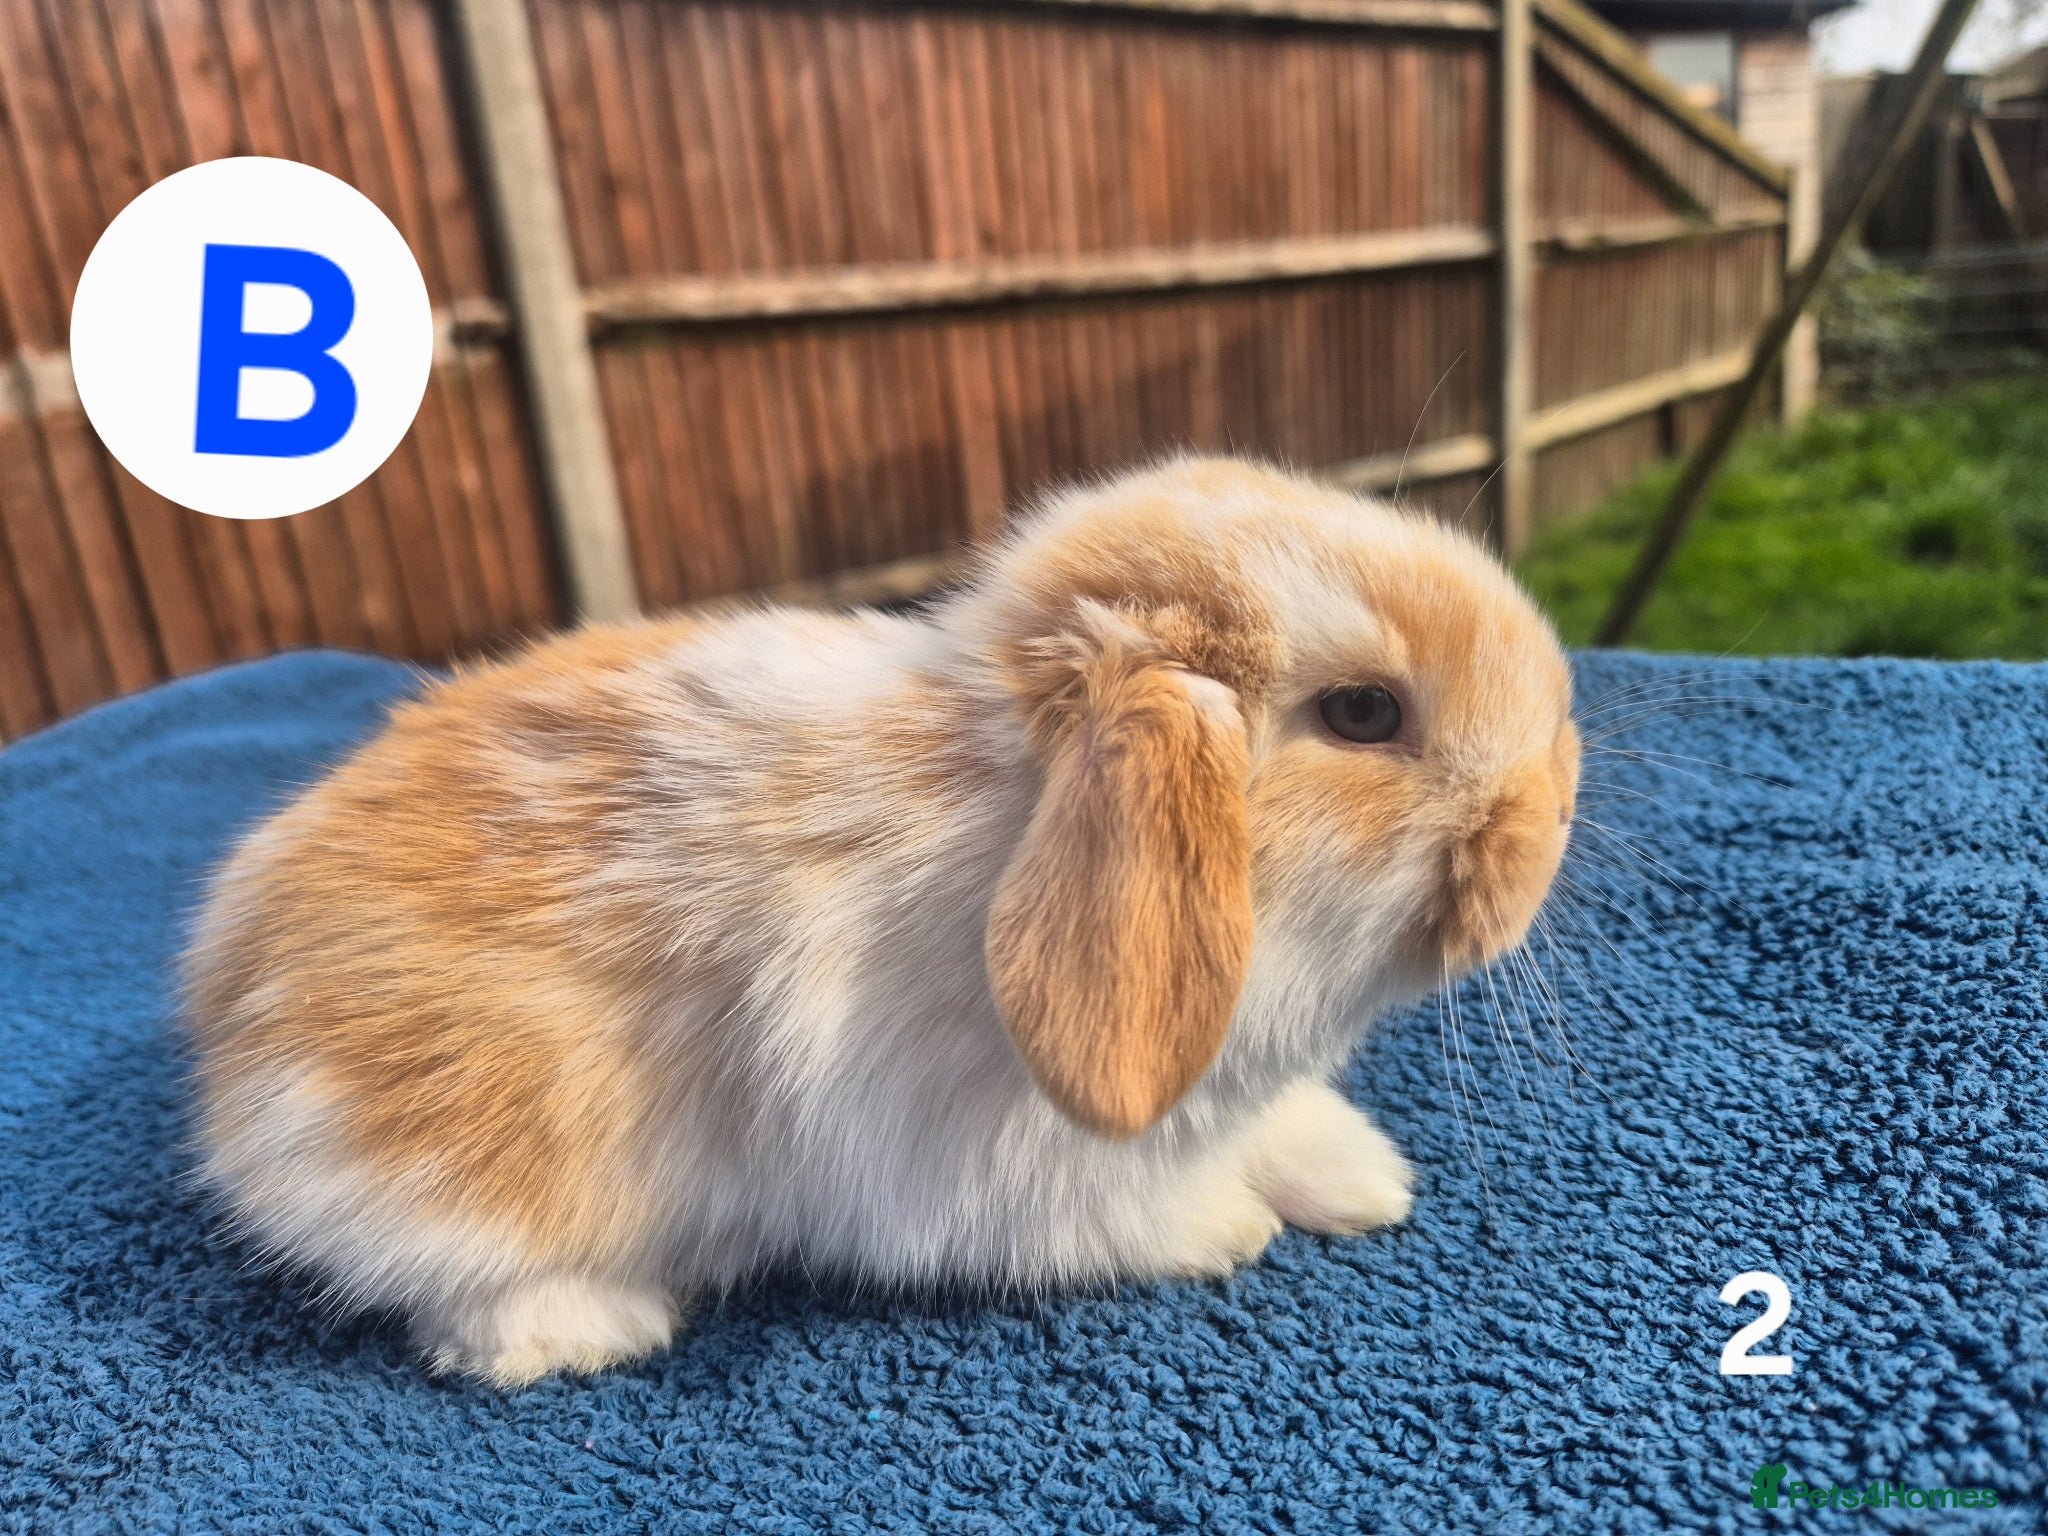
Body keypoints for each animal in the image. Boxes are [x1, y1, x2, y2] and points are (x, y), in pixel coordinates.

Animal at [183, 456, 1580, 1386]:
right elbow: (1133, 1216)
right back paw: (586, 1328)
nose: (1552, 805)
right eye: (1362, 714)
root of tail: (225, 982)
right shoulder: (990, 1181)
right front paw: (1230, 1227)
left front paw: (1364, 1180)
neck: (1007, 813)